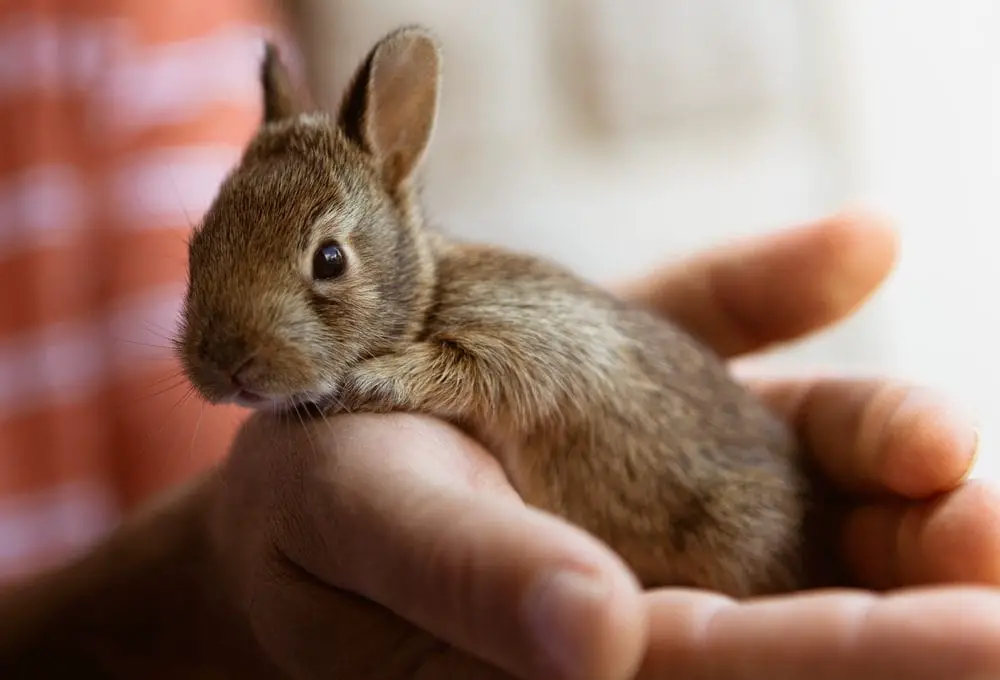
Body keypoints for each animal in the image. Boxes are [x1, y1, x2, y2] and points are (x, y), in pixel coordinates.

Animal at [176, 25, 832, 596]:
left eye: (330, 259)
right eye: (196, 247)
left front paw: (370, 381)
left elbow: (482, 370)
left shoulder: (532, 342)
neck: (428, 298)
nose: (226, 362)